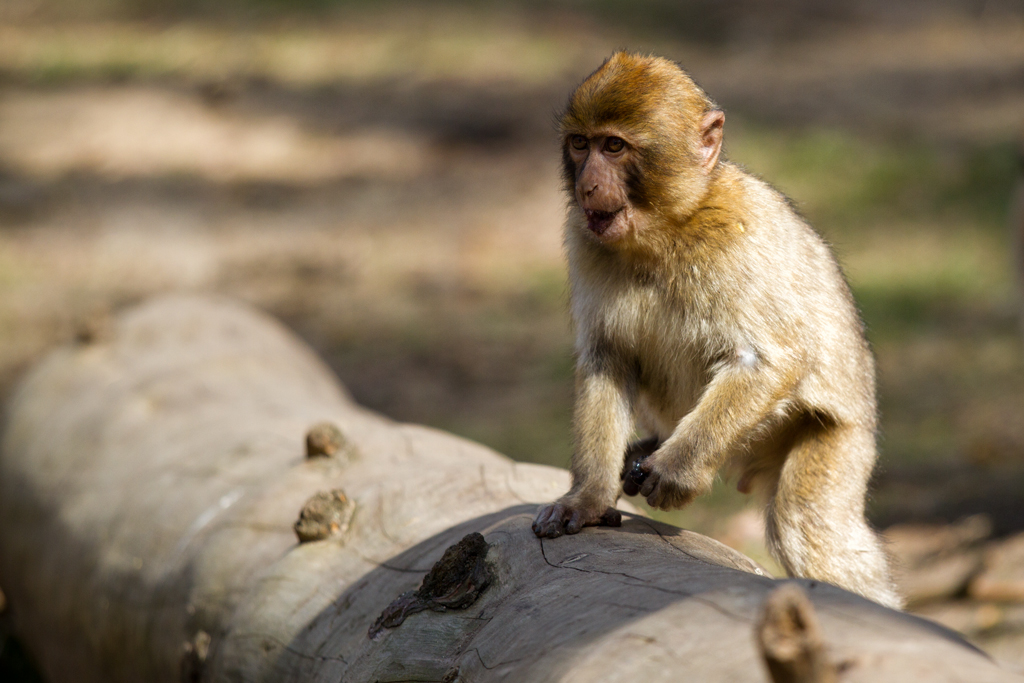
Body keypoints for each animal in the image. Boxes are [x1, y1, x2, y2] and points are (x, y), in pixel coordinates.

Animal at [532, 53, 901, 610]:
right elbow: (607, 360)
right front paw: (589, 498)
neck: (665, 231)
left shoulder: (737, 234)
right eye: (581, 143)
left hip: (843, 441)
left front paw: (676, 471)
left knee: (804, 521)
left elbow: (770, 361)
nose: (587, 185)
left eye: (614, 147)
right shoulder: (584, 238)